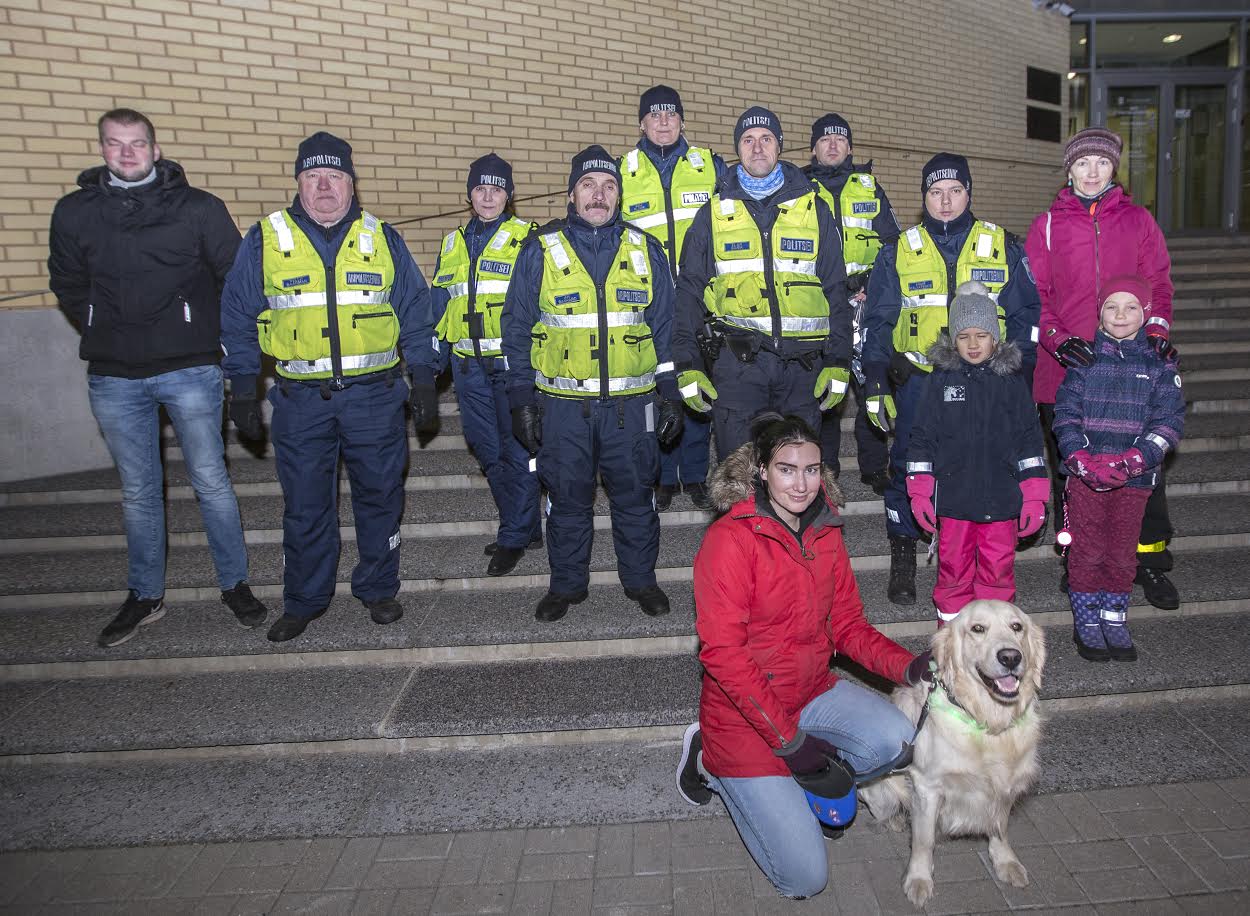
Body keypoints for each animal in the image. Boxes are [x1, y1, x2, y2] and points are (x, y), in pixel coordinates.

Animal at [860, 597, 1045, 904]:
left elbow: (1000, 826)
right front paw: (919, 879)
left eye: (1016, 627)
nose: (1010, 657)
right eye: (978, 628)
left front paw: (1005, 862)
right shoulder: (927, 786)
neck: (987, 723)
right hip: (878, 787)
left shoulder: (1006, 783)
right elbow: (923, 840)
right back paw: (896, 820)